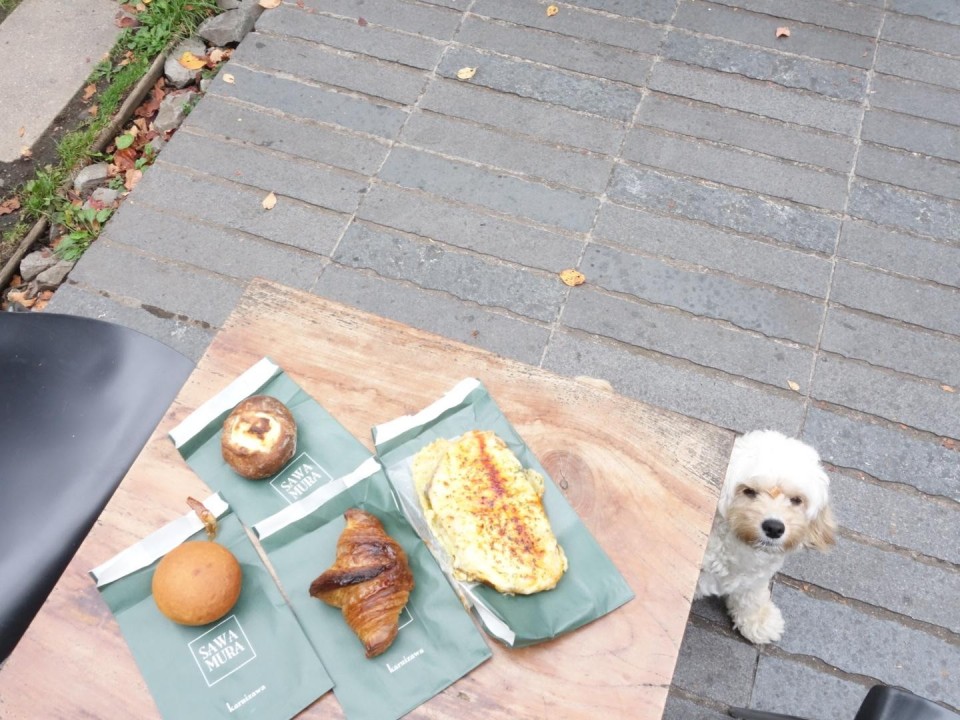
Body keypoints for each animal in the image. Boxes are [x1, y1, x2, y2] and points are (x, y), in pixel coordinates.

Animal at [695, 430, 836, 645]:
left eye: (796, 500)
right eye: (748, 491)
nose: (774, 528)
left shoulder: (756, 577)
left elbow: (750, 597)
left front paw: (758, 619)